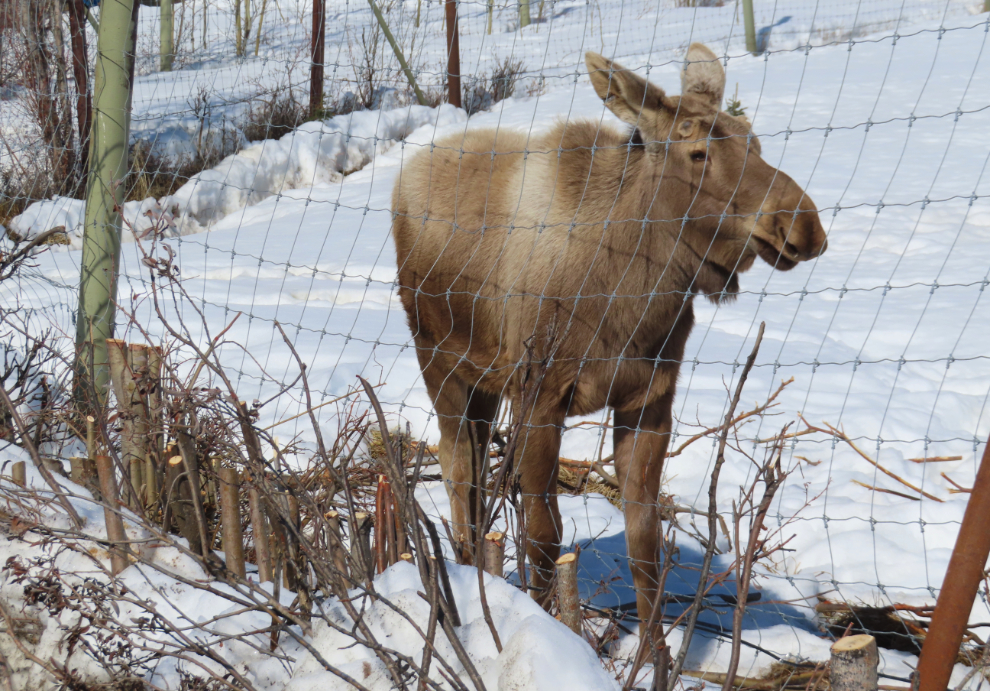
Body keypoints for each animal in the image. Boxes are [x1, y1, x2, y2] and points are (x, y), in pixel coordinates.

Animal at [390, 43, 827, 626]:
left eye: (754, 143)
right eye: (696, 153)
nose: (803, 225)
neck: (632, 300)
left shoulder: (650, 400)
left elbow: (645, 547)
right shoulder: (539, 395)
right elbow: (544, 535)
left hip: (483, 382)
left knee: (477, 468)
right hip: (438, 360)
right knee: (456, 464)